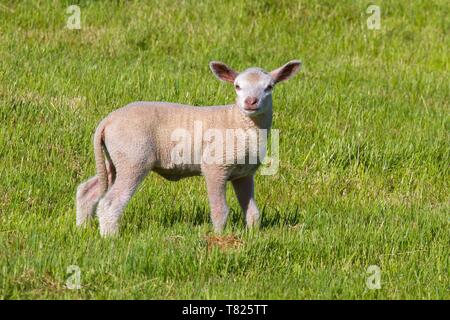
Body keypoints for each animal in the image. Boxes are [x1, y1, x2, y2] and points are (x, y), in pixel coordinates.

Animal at [75, 60, 302, 236]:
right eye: (237, 86)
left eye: (269, 87)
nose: (250, 101)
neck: (240, 122)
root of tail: (107, 121)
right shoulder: (215, 167)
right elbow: (220, 210)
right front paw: (219, 238)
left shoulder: (244, 174)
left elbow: (253, 212)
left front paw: (253, 236)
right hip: (134, 157)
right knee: (110, 202)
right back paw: (110, 238)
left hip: (116, 158)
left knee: (88, 190)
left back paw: (83, 229)